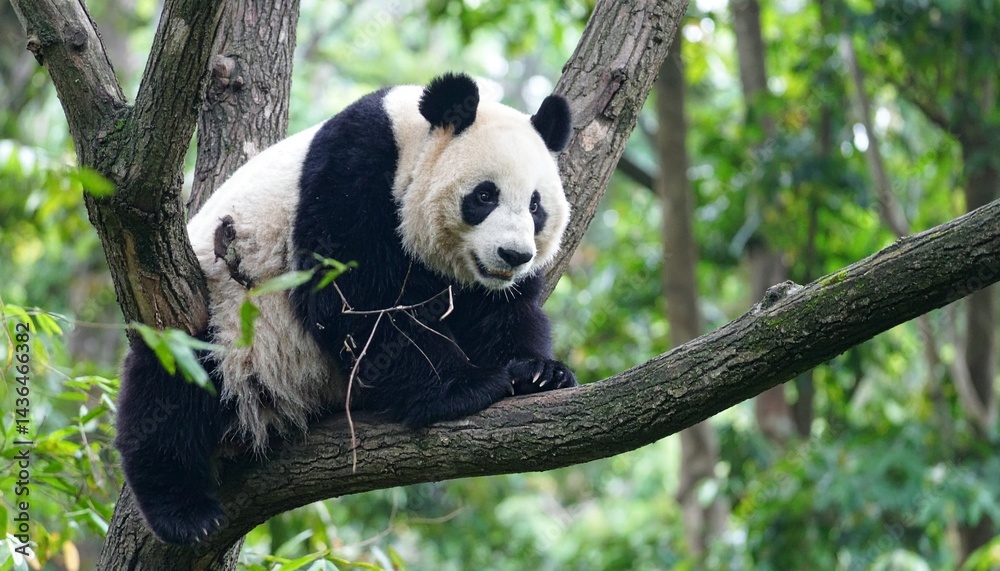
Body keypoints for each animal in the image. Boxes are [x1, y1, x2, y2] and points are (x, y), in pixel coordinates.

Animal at [115, 72, 578, 545]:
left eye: (536, 205)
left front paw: (539, 372)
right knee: (170, 390)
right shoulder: (351, 171)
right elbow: (358, 300)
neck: (408, 139)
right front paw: (465, 385)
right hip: (219, 316)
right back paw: (184, 511)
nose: (514, 255)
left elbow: (502, 310)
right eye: (484, 195)